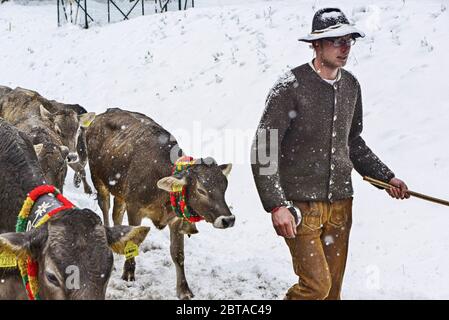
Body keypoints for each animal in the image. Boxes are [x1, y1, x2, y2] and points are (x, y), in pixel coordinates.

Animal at [86, 109, 236, 302]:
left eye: (225, 186)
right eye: (201, 190)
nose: (228, 219)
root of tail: (104, 113)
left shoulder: (176, 220)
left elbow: (178, 254)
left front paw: (183, 289)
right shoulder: (135, 208)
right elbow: (133, 241)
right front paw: (128, 273)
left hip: (120, 193)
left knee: (116, 213)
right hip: (99, 180)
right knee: (105, 209)